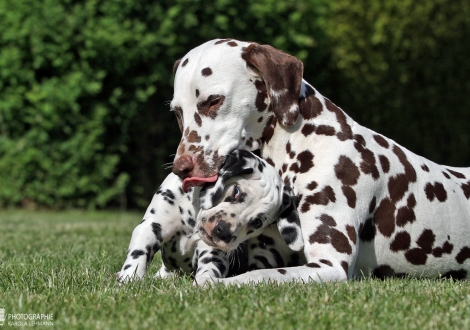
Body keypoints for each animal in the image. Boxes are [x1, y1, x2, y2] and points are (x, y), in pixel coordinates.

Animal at [118, 150, 304, 284]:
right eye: (236, 191)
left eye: (257, 222)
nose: (223, 231)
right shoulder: (150, 227)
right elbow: (138, 256)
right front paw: (129, 280)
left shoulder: (213, 252)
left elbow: (209, 270)